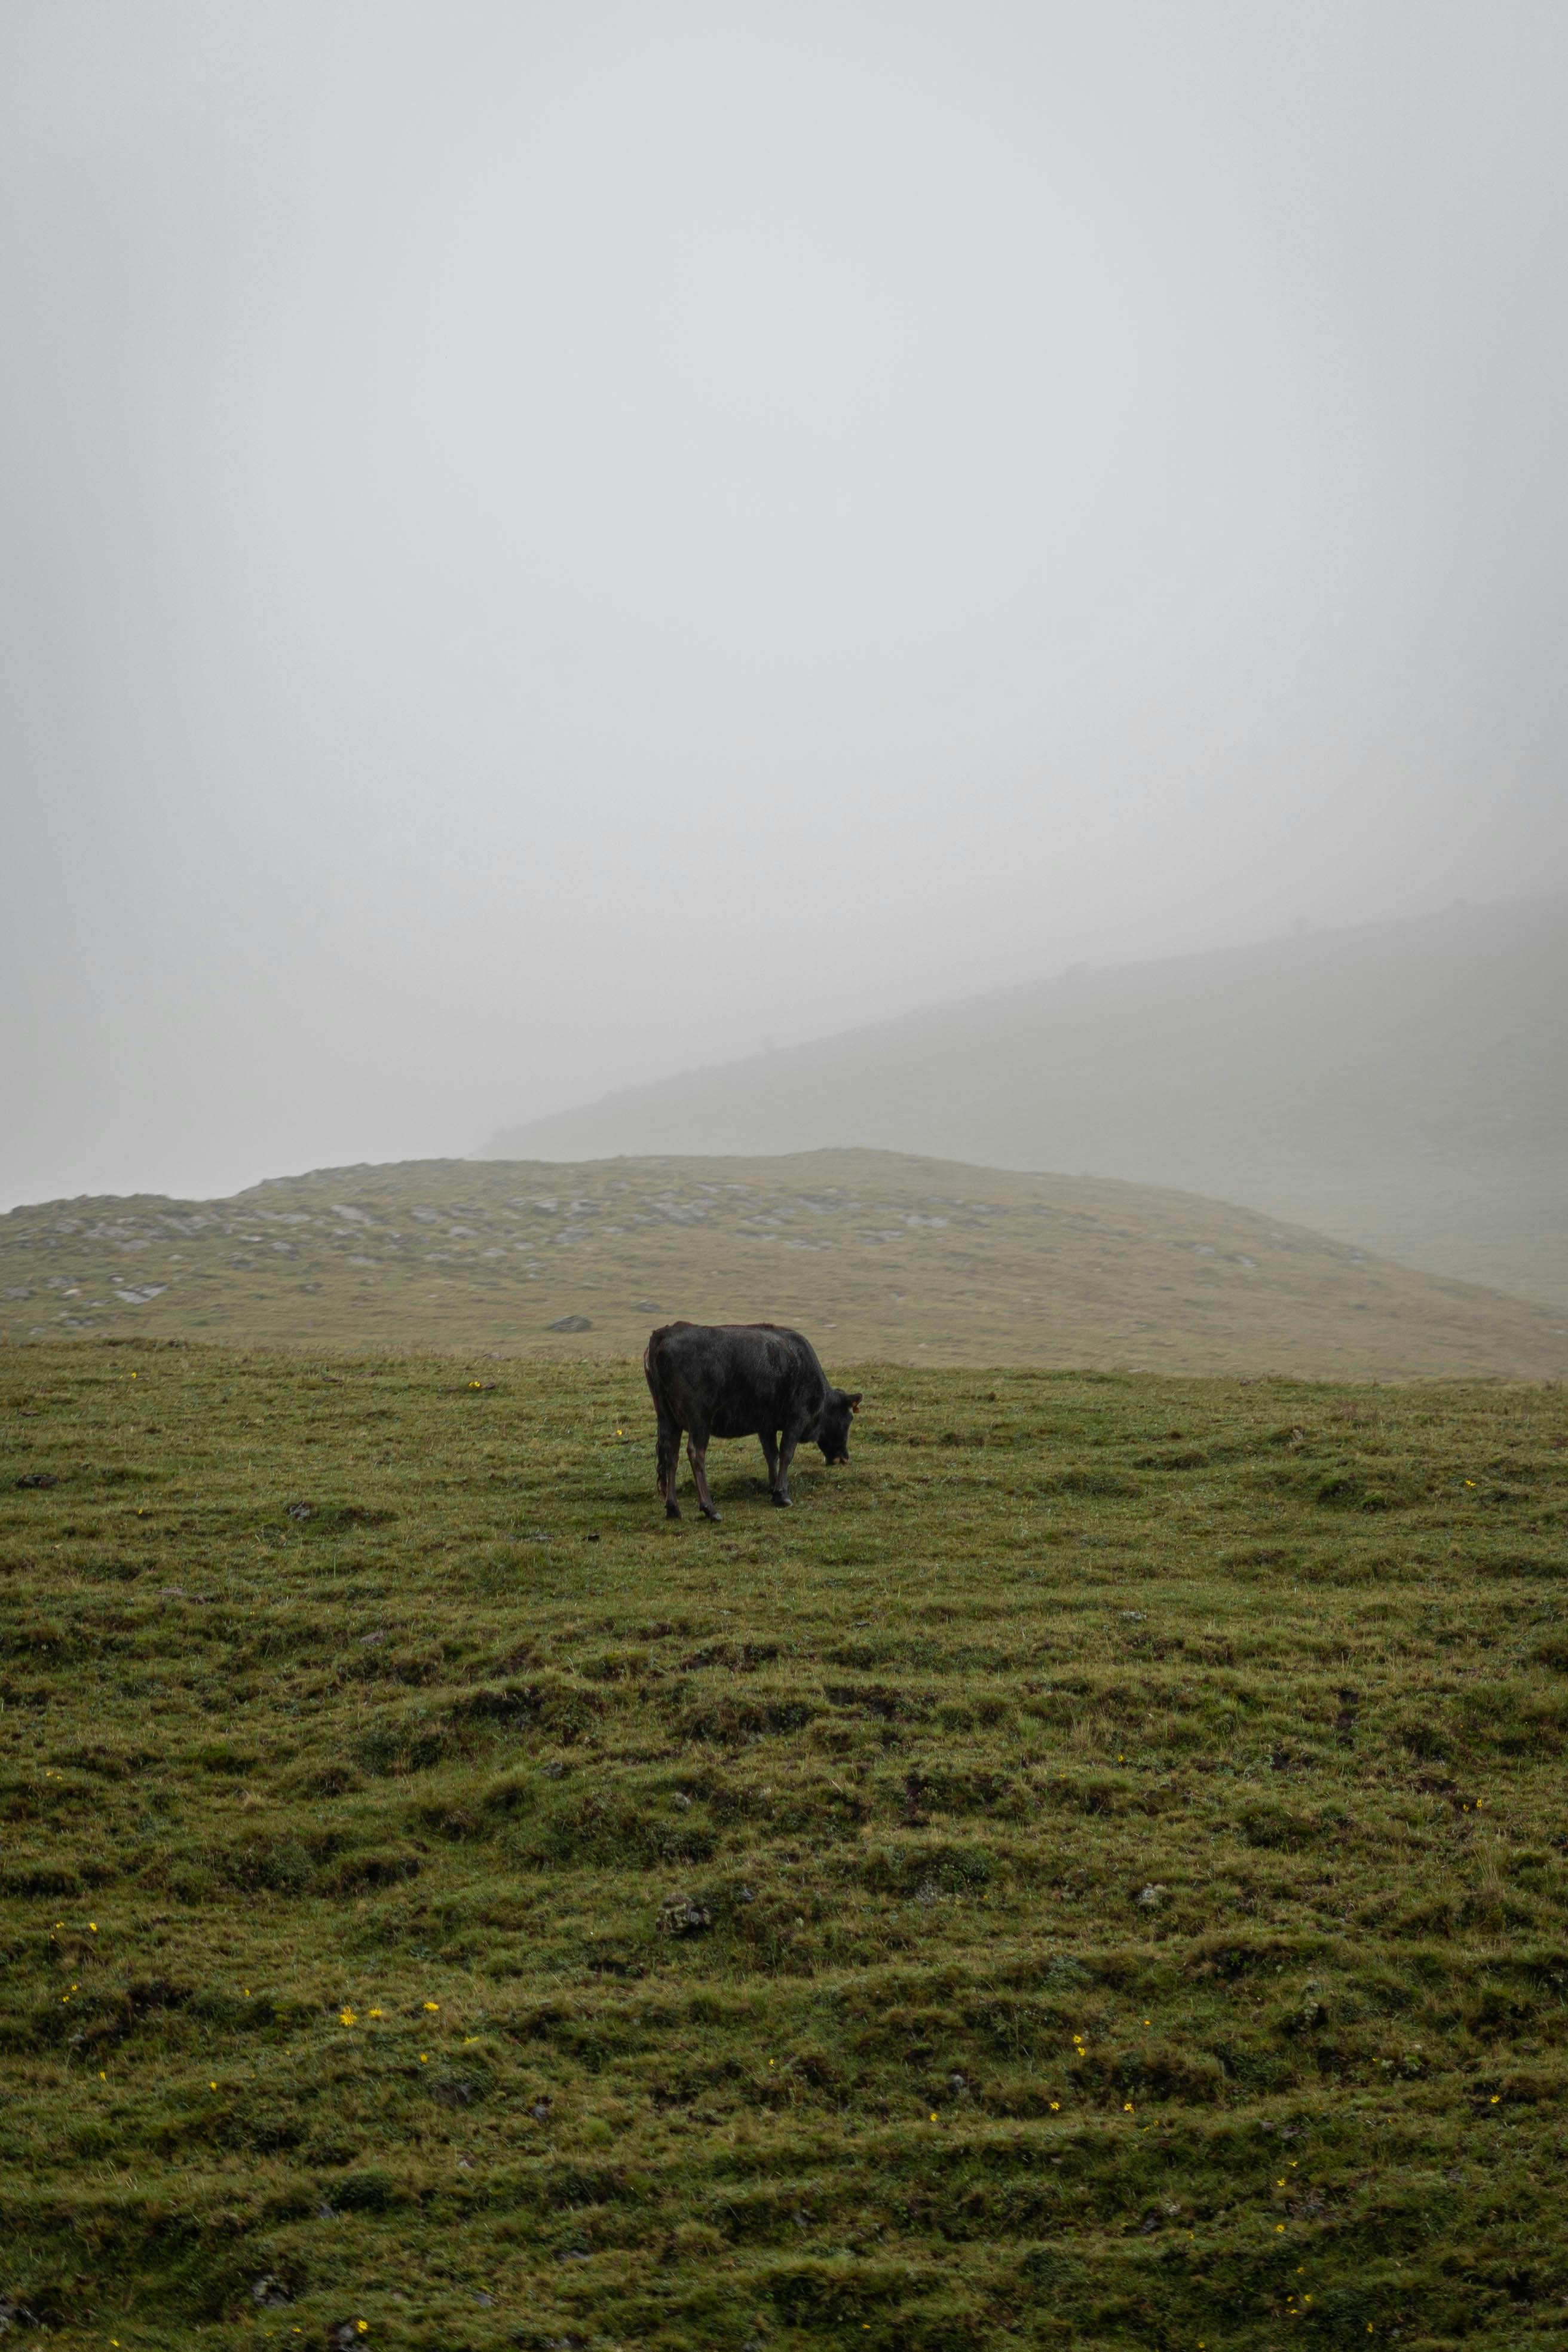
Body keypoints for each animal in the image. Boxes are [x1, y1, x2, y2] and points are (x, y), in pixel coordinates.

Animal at [642, 1320, 861, 1521]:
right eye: (849, 1418)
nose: (844, 1457)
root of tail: (661, 1336)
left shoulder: (766, 1425)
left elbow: (771, 1454)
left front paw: (773, 1487)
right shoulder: (796, 1418)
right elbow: (786, 1454)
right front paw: (782, 1494)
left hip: (666, 1415)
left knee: (670, 1455)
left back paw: (673, 1508)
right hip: (699, 1418)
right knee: (696, 1454)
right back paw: (709, 1509)